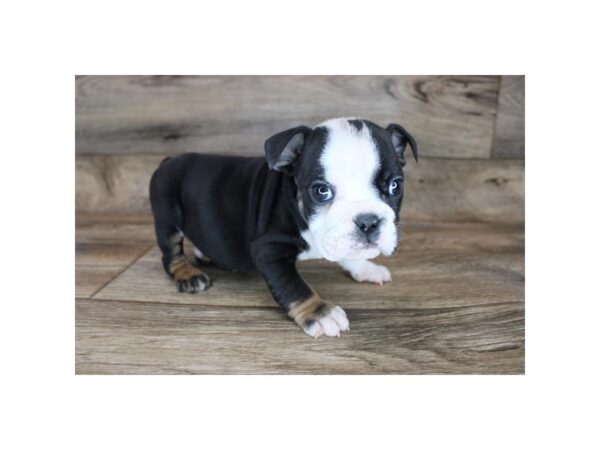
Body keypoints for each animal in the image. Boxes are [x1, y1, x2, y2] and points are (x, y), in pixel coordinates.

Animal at [151, 118, 418, 336]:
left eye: (395, 186)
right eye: (322, 191)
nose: (368, 221)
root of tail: (168, 161)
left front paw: (364, 267)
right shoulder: (268, 250)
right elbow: (294, 286)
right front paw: (320, 313)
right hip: (167, 213)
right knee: (171, 253)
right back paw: (188, 275)